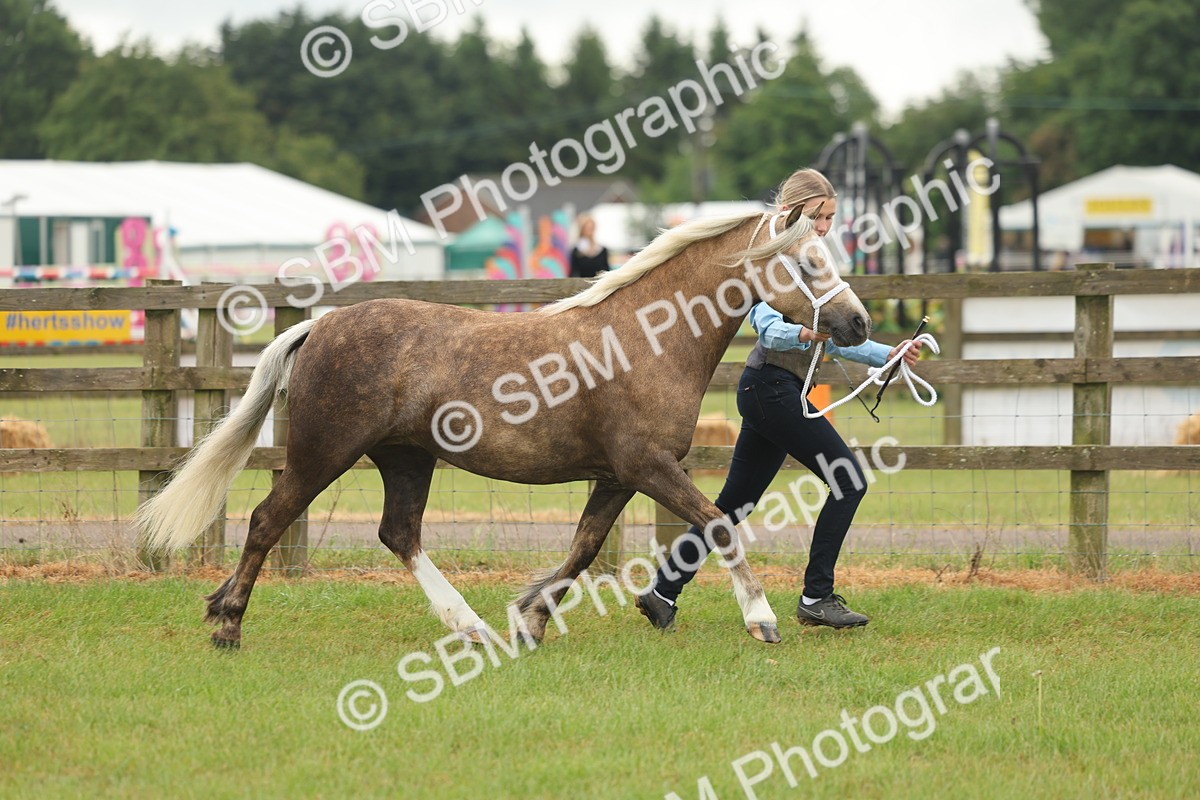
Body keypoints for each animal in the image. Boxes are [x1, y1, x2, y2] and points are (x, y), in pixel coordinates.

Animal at [135, 206, 870, 648]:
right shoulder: (648, 467)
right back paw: (228, 625)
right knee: (268, 519)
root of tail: (320, 326)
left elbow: (582, 549)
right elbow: (717, 525)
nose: (858, 322)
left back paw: (474, 628)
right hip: (327, 451)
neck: (646, 339)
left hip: (406, 458)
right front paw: (763, 620)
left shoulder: (618, 477)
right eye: (808, 262)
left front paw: (529, 620)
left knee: (399, 534)